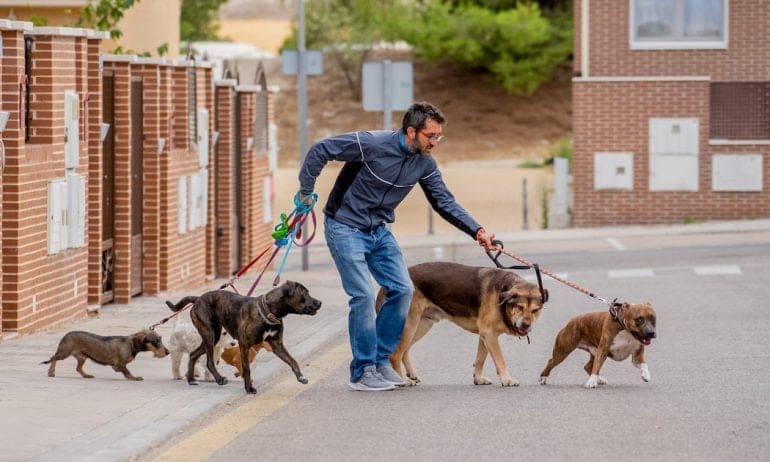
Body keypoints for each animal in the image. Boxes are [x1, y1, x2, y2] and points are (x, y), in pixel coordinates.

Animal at [40, 330, 170, 380]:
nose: (168, 352)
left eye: (160, 339)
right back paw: (51, 371)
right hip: (64, 353)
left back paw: (86, 375)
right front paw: (134, 377)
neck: (131, 344)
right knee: (53, 358)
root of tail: (66, 334)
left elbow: (121, 370)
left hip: (82, 357)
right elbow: (127, 371)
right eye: (156, 341)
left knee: (78, 368)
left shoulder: (119, 365)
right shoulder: (121, 363)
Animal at [166, 282, 322, 394]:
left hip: (213, 336)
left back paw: (191, 379)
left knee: (193, 355)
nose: (320, 302)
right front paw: (249, 388)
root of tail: (197, 298)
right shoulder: (244, 345)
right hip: (209, 335)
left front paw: (301, 377)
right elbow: (246, 368)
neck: (269, 311)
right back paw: (219, 379)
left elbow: (293, 361)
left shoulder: (277, 345)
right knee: (209, 362)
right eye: (305, 293)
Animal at [384, 264, 544, 386]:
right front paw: (507, 379)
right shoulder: (489, 334)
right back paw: (402, 381)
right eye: (519, 307)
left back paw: (411, 374)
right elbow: (500, 359)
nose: (526, 325)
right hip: (410, 325)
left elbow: (480, 359)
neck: (503, 297)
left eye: (535, 310)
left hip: (422, 325)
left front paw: (478, 379)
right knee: (395, 355)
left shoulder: (485, 335)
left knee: (405, 351)